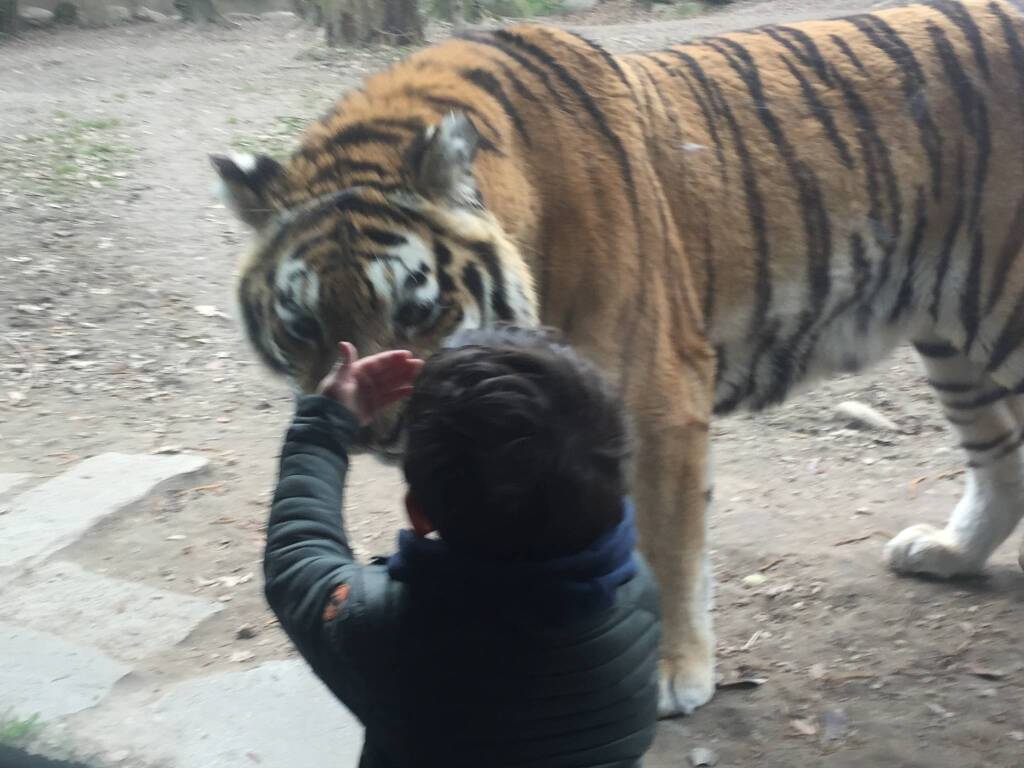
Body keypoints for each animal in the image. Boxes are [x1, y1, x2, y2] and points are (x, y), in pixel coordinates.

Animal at [213, 0, 1024, 717]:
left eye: (416, 311)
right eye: (302, 325)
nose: (376, 431)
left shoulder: (657, 401)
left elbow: (664, 546)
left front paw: (669, 675)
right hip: (954, 341)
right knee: (1000, 459)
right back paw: (948, 552)